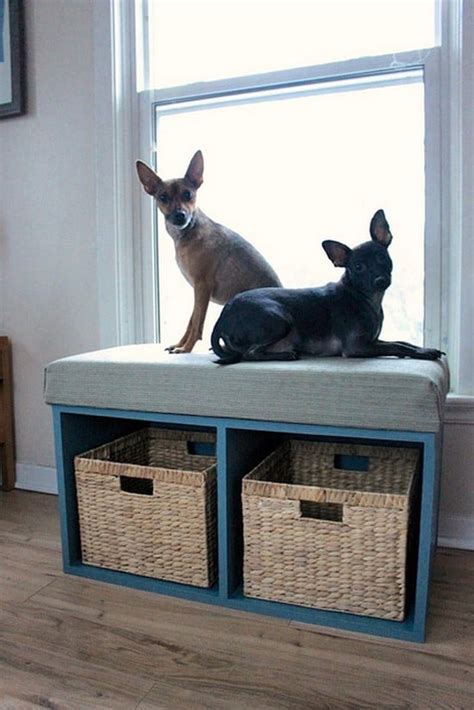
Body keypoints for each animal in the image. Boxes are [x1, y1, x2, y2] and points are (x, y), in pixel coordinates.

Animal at [136, 151, 282, 353]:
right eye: (163, 197)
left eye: (188, 194)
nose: (180, 215)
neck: (188, 233)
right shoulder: (197, 290)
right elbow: (192, 320)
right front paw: (180, 344)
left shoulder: (202, 286)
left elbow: (197, 322)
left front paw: (186, 349)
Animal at [211, 209, 443, 364]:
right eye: (358, 267)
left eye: (382, 257)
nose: (380, 280)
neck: (365, 298)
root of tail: (224, 317)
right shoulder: (356, 347)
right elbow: (396, 345)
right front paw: (425, 353)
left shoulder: (373, 341)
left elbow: (403, 342)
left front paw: (422, 348)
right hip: (279, 319)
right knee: (249, 354)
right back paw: (285, 354)